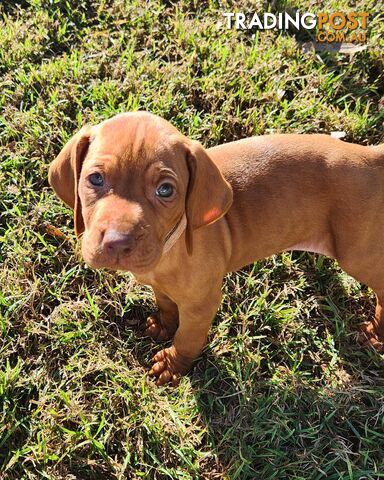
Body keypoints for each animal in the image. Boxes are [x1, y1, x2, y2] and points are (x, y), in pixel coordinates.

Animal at [48, 112, 384, 386]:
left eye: (165, 190)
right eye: (95, 178)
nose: (117, 242)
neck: (170, 246)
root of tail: (372, 156)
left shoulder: (202, 304)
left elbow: (187, 337)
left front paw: (172, 365)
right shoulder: (162, 285)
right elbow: (166, 304)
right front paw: (163, 325)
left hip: (359, 255)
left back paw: (376, 331)